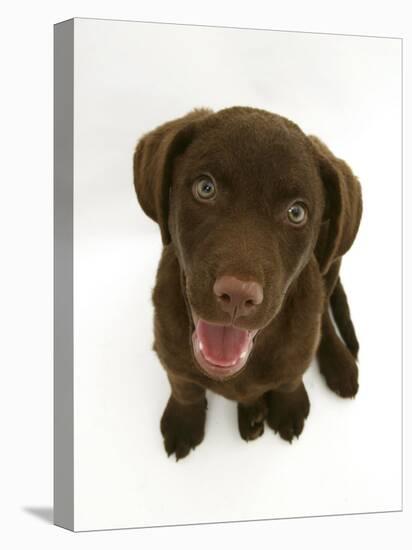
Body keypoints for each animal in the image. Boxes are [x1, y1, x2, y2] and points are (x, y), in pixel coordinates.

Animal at [134, 108, 362, 462]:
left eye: (296, 212)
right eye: (205, 188)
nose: (238, 295)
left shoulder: (296, 351)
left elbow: (290, 377)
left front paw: (289, 407)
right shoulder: (168, 349)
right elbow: (184, 385)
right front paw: (183, 422)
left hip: (332, 259)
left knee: (323, 311)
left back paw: (338, 364)